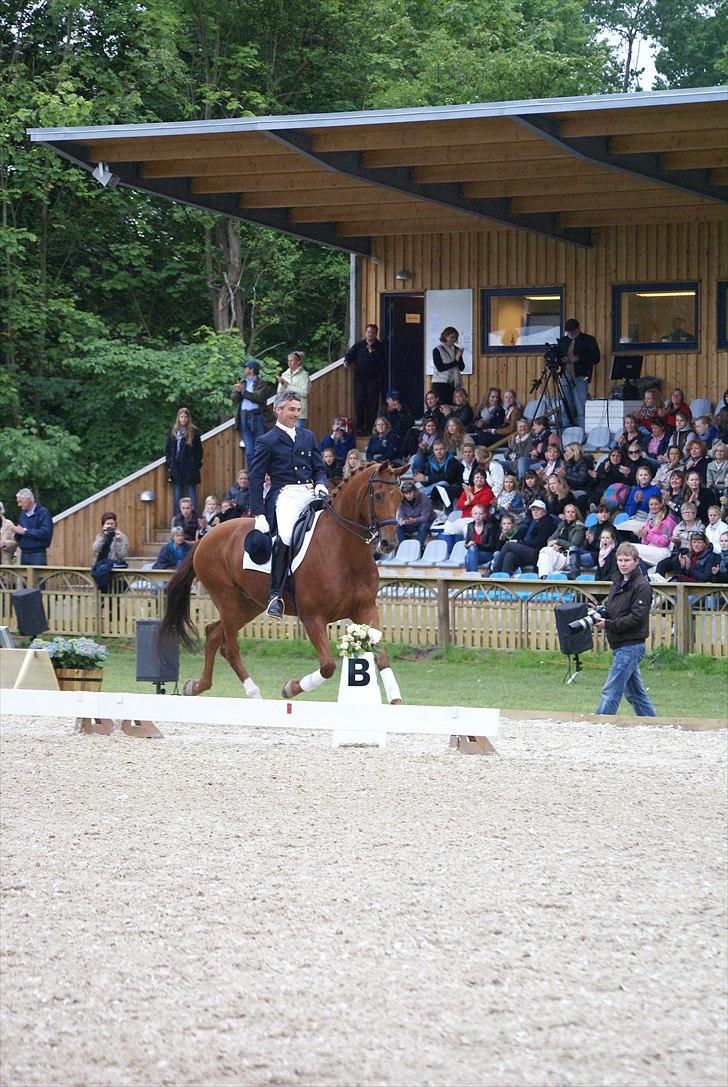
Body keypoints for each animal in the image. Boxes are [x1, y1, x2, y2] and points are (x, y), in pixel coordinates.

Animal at [159, 460, 408, 700]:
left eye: (400, 497)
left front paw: (396, 702)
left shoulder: (365, 610)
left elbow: (382, 658)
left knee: (213, 634)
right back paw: (253, 693)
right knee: (229, 648)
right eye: (378, 495)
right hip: (227, 599)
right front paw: (290, 688)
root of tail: (206, 536)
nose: (389, 544)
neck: (344, 549)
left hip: (247, 605)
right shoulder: (312, 617)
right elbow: (327, 666)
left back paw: (196, 686)